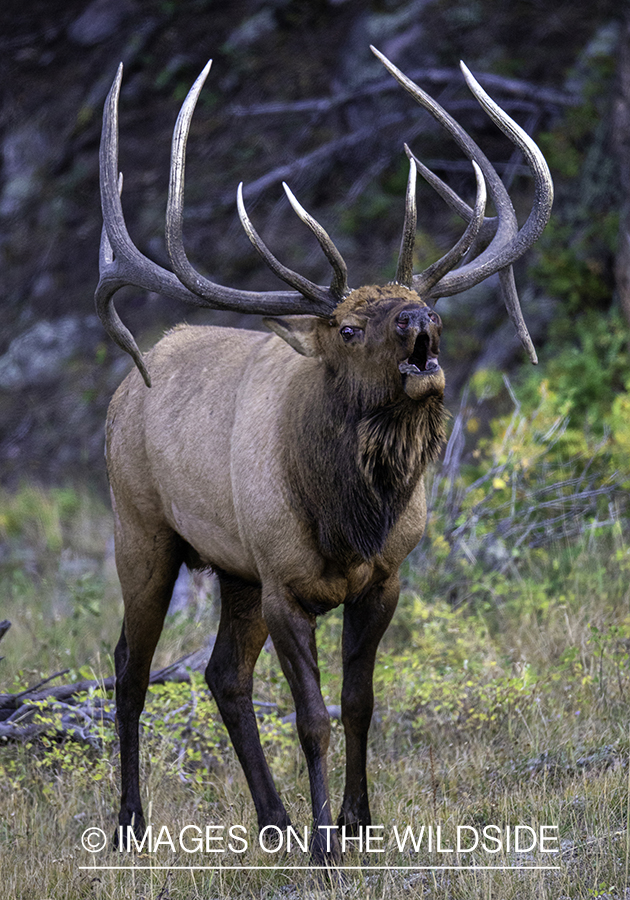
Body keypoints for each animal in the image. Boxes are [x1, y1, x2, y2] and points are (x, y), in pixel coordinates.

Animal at [96, 49, 556, 864]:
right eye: (346, 326)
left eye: (424, 305)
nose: (419, 319)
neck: (349, 520)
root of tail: (124, 391)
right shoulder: (286, 583)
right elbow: (311, 718)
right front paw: (325, 842)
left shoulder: (383, 578)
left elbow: (358, 703)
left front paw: (358, 822)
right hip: (144, 532)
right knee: (131, 667)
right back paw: (132, 824)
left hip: (235, 570)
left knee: (221, 674)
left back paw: (271, 819)